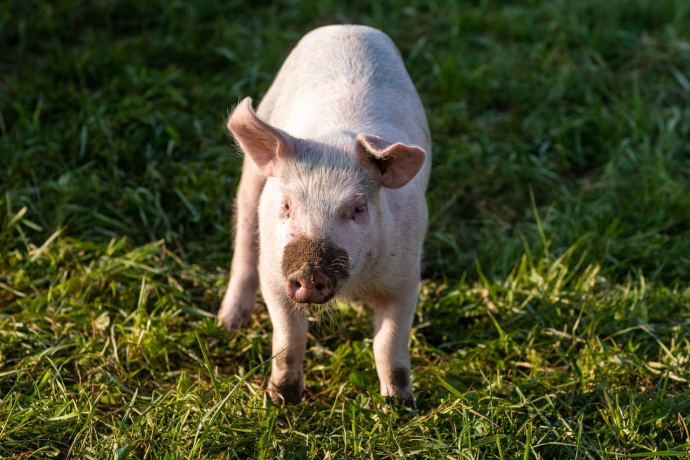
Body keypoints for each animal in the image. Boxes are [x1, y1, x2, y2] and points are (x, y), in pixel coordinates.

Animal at [217, 24, 431, 408]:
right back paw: (228, 324)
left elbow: (389, 345)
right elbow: (289, 339)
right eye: (287, 206)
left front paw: (400, 407)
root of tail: (348, 28)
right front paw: (281, 401)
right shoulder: (274, 275)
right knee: (243, 240)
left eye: (358, 208)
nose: (309, 272)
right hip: (251, 181)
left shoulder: (406, 277)